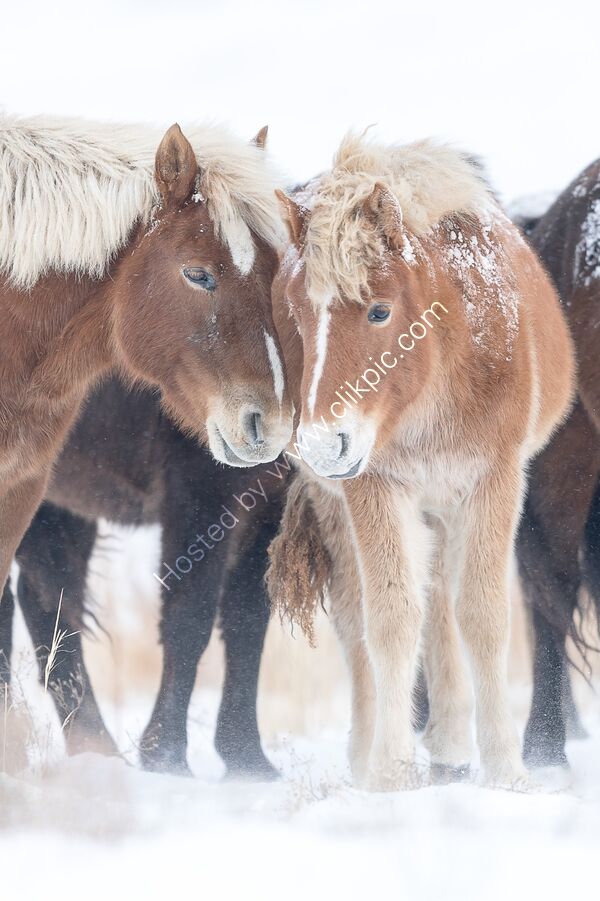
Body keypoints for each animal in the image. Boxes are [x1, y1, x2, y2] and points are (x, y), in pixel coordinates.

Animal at [0, 377, 291, 777]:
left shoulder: (268, 503)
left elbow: (246, 626)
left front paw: (249, 760)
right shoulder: (199, 492)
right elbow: (190, 621)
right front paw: (165, 754)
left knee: (46, 602)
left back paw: (95, 746)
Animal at [267, 133, 575, 790]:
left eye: (380, 311)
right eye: (296, 316)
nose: (322, 445)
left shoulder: (493, 482)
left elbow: (482, 618)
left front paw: (507, 770)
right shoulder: (376, 486)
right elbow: (389, 619)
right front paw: (388, 771)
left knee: (441, 603)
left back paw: (455, 742)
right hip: (348, 506)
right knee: (361, 615)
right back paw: (377, 751)